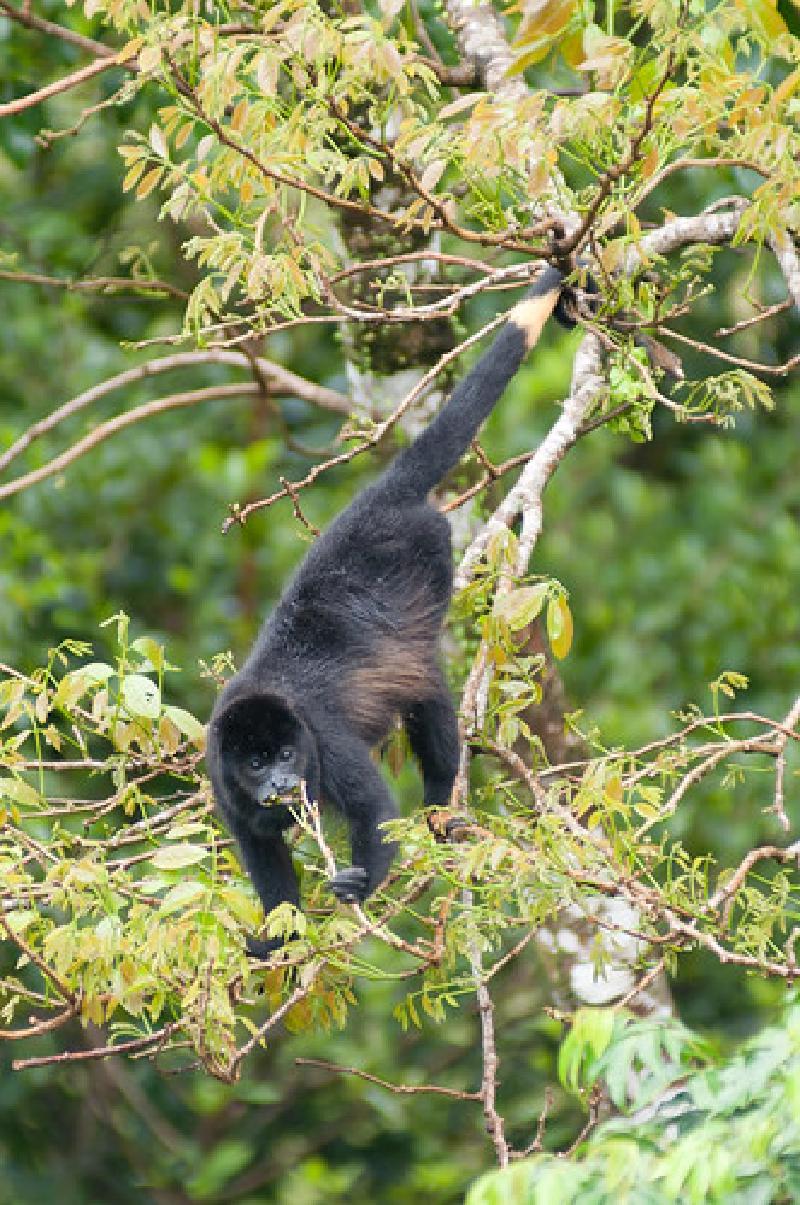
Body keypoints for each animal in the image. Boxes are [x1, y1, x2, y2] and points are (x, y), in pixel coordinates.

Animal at [207, 265, 570, 956]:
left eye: (286, 755)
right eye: (256, 762)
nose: (282, 786)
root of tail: (380, 500)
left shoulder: (324, 739)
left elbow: (373, 807)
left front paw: (361, 883)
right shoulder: (222, 777)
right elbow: (262, 853)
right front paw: (276, 935)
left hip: (429, 555)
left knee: (425, 693)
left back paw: (440, 801)